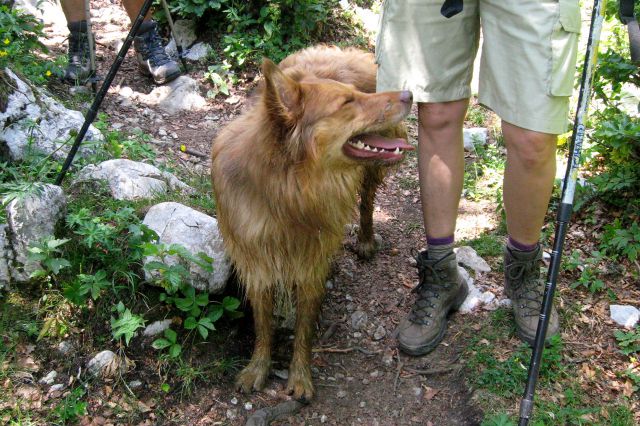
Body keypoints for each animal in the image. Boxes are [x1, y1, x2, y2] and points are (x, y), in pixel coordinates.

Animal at [209, 45, 410, 402]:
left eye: (357, 95)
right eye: (347, 102)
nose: (409, 94)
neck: (285, 194)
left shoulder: (311, 263)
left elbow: (304, 327)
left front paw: (300, 375)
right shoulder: (256, 262)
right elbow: (263, 324)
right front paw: (258, 366)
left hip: (371, 171)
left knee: (367, 203)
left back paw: (365, 240)